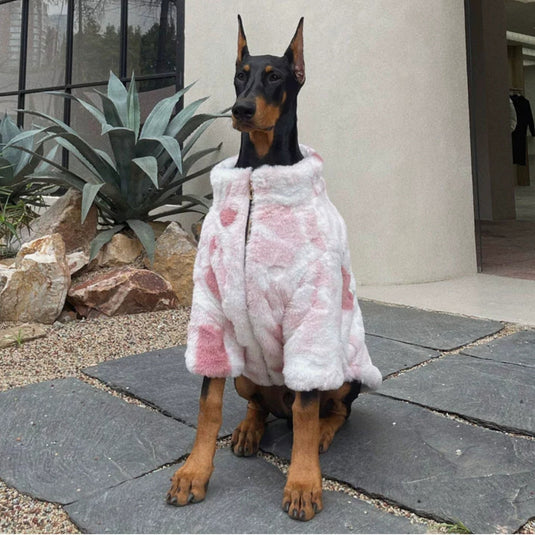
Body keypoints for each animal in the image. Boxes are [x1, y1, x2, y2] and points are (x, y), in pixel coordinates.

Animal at [168, 17, 382, 524]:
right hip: (247, 372)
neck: (256, 178)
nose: (241, 109)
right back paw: (249, 429)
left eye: (275, 77)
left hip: (342, 371)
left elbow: (306, 412)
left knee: (329, 410)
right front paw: (193, 472)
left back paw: (322, 433)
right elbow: (208, 403)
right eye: (240, 75)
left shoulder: (312, 310)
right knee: (258, 405)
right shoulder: (212, 308)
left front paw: (303, 483)